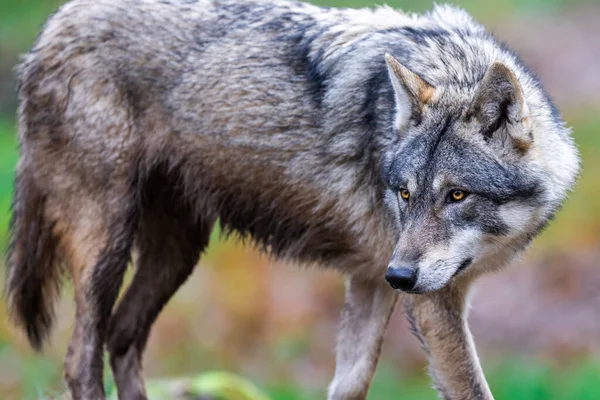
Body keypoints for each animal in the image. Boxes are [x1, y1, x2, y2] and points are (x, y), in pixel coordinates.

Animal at [3, 0, 576, 398]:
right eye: (404, 194)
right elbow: (472, 390)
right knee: (81, 357)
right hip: (108, 248)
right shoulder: (430, 302)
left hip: (178, 253)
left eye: (456, 195)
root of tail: (54, 25)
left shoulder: (371, 282)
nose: (402, 275)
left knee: (122, 337)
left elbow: (350, 384)